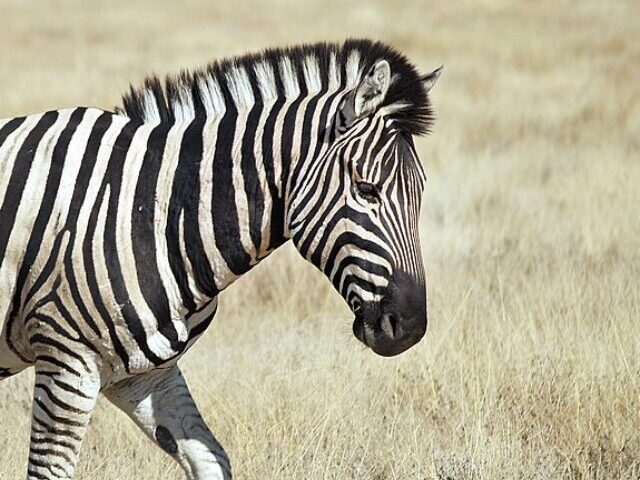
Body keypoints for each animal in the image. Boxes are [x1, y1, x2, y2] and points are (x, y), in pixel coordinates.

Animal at [0, 39, 440, 478]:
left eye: (421, 191)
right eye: (367, 190)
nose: (410, 329)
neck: (156, 211)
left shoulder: (144, 375)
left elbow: (210, 458)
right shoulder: (66, 361)